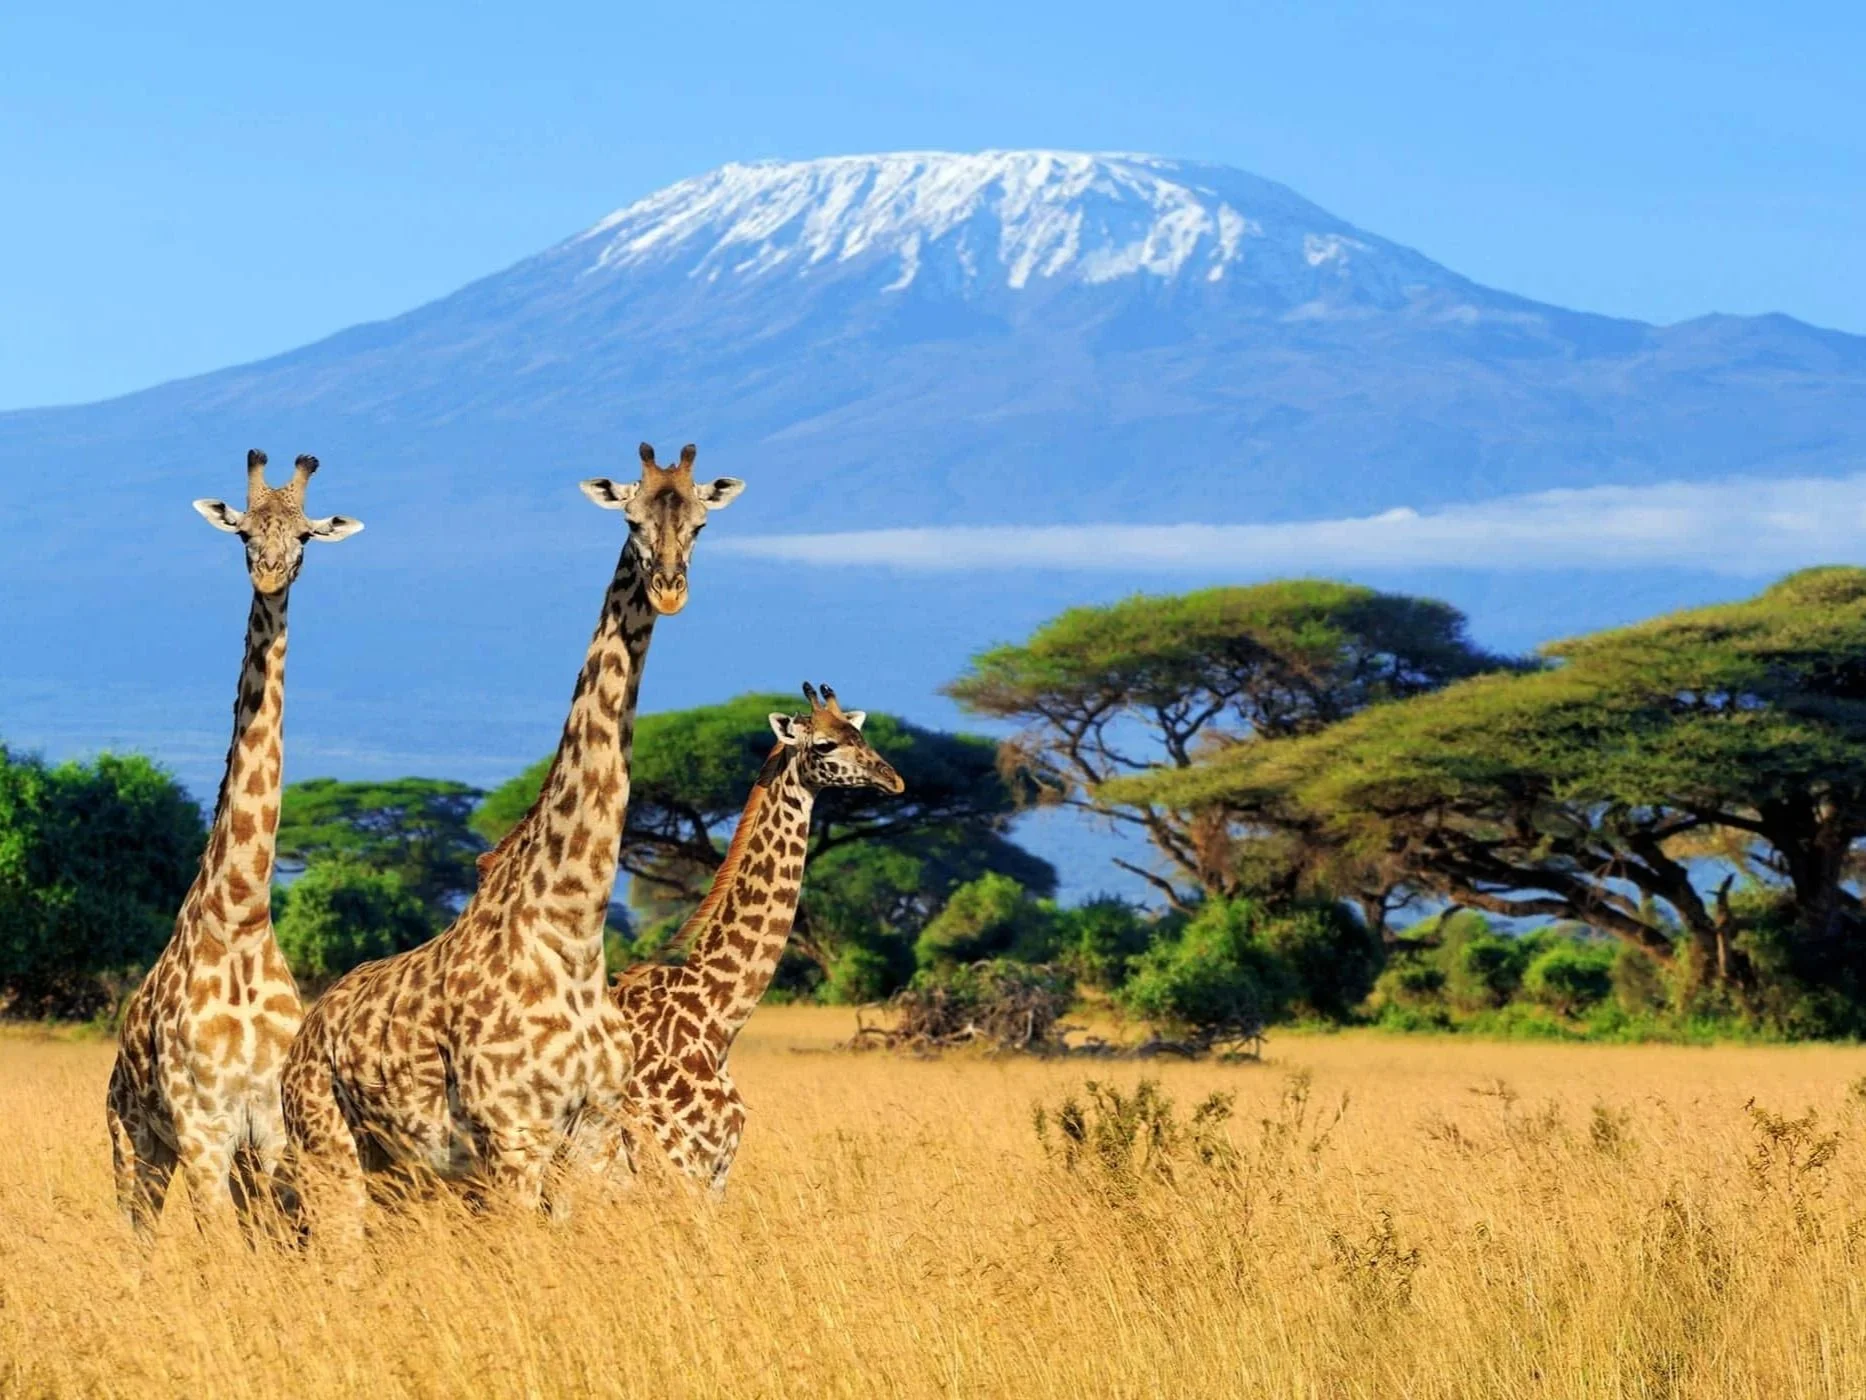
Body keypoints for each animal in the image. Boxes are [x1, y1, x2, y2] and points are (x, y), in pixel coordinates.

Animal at [106, 450, 363, 1238]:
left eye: (305, 536)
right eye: (244, 532)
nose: (271, 574)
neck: (243, 916)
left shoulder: (270, 1129)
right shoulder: (202, 1128)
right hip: (133, 1141)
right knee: (137, 1234)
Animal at [281, 442, 743, 1241]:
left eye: (701, 523)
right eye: (630, 518)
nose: (669, 590)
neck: (572, 930)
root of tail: (304, 1038)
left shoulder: (591, 1135)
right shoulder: (513, 1138)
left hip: (395, 1168)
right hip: (329, 1148)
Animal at [596, 683, 903, 1197]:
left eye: (859, 734)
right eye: (825, 745)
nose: (893, 779)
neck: (716, 1016)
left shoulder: (716, 1172)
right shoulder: (680, 1166)